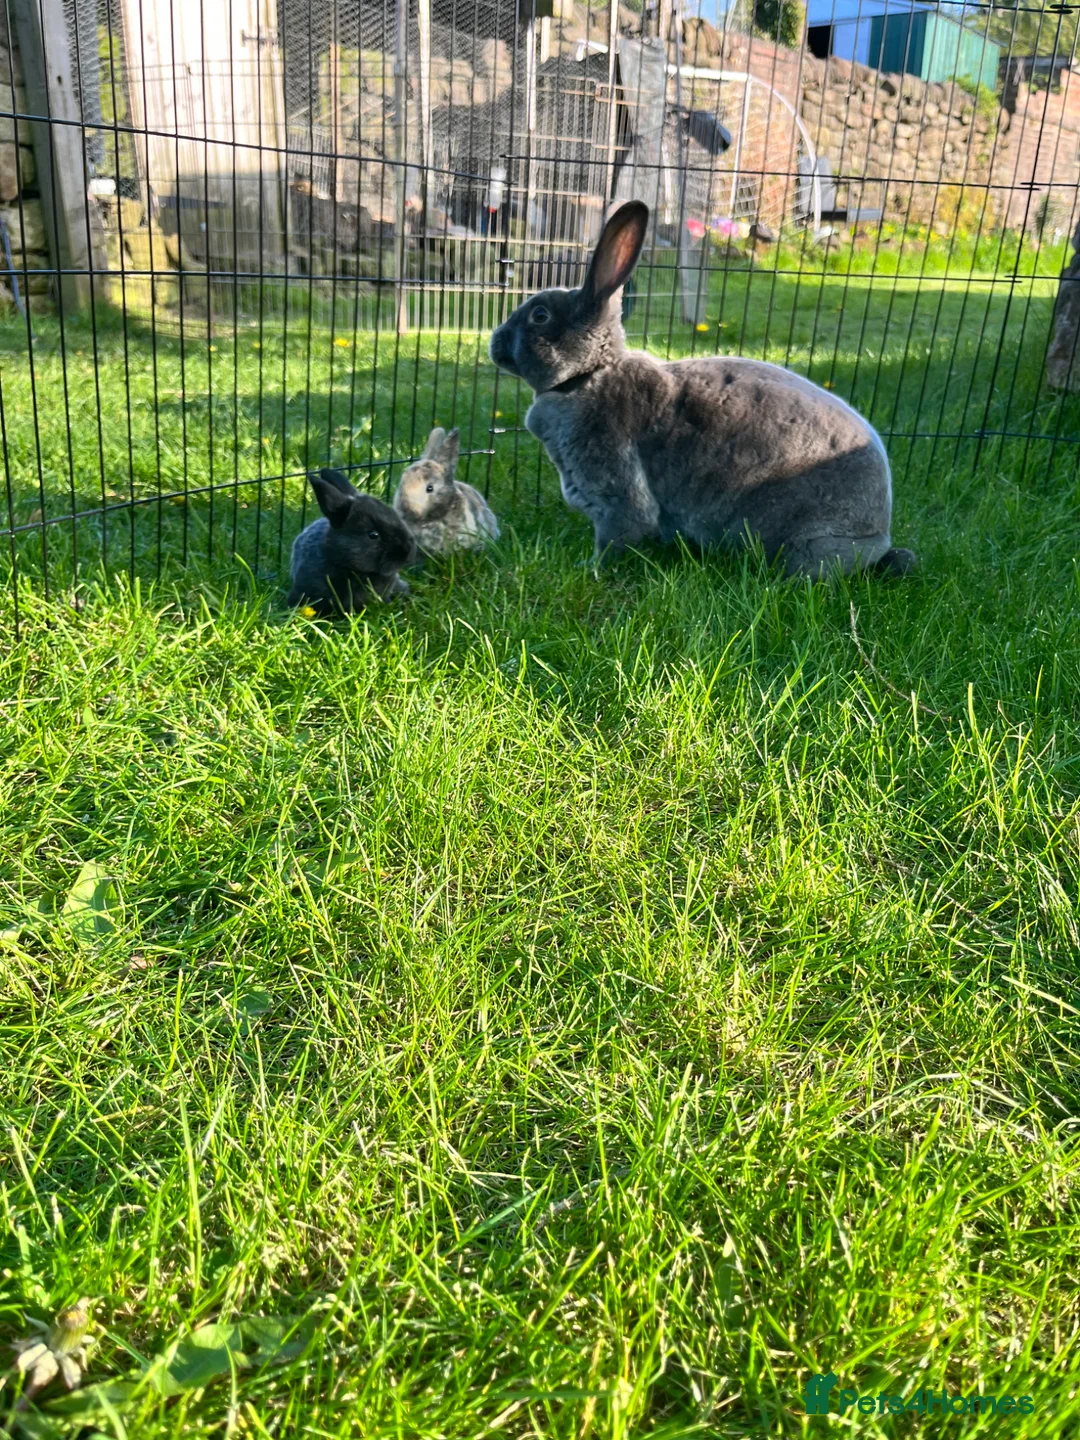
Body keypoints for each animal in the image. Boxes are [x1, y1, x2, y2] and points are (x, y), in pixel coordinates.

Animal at [488, 199, 916, 580]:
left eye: (539, 315)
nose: (494, 342)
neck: (588, 373)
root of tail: (876, 537)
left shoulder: (614, 488)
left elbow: (621, 532)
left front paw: (589, 569)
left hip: (808, 540)